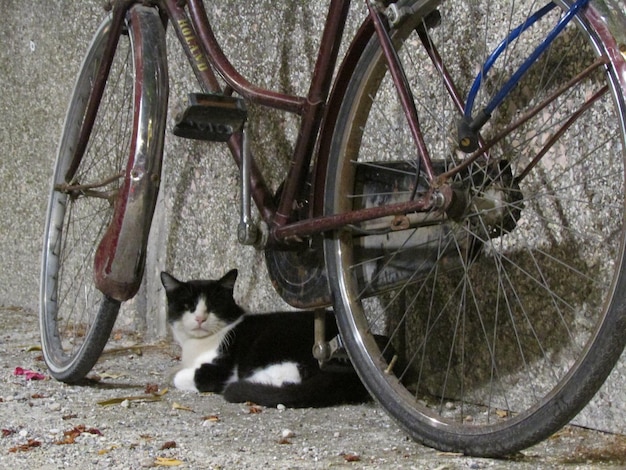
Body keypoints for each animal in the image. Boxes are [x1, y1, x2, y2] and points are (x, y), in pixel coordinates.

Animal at [158, 268, 368, 408]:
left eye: (214, 305)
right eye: (188, 305)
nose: (200, 318)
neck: (196, 346)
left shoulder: (219, 368)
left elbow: (182, 376)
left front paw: (174, 375)